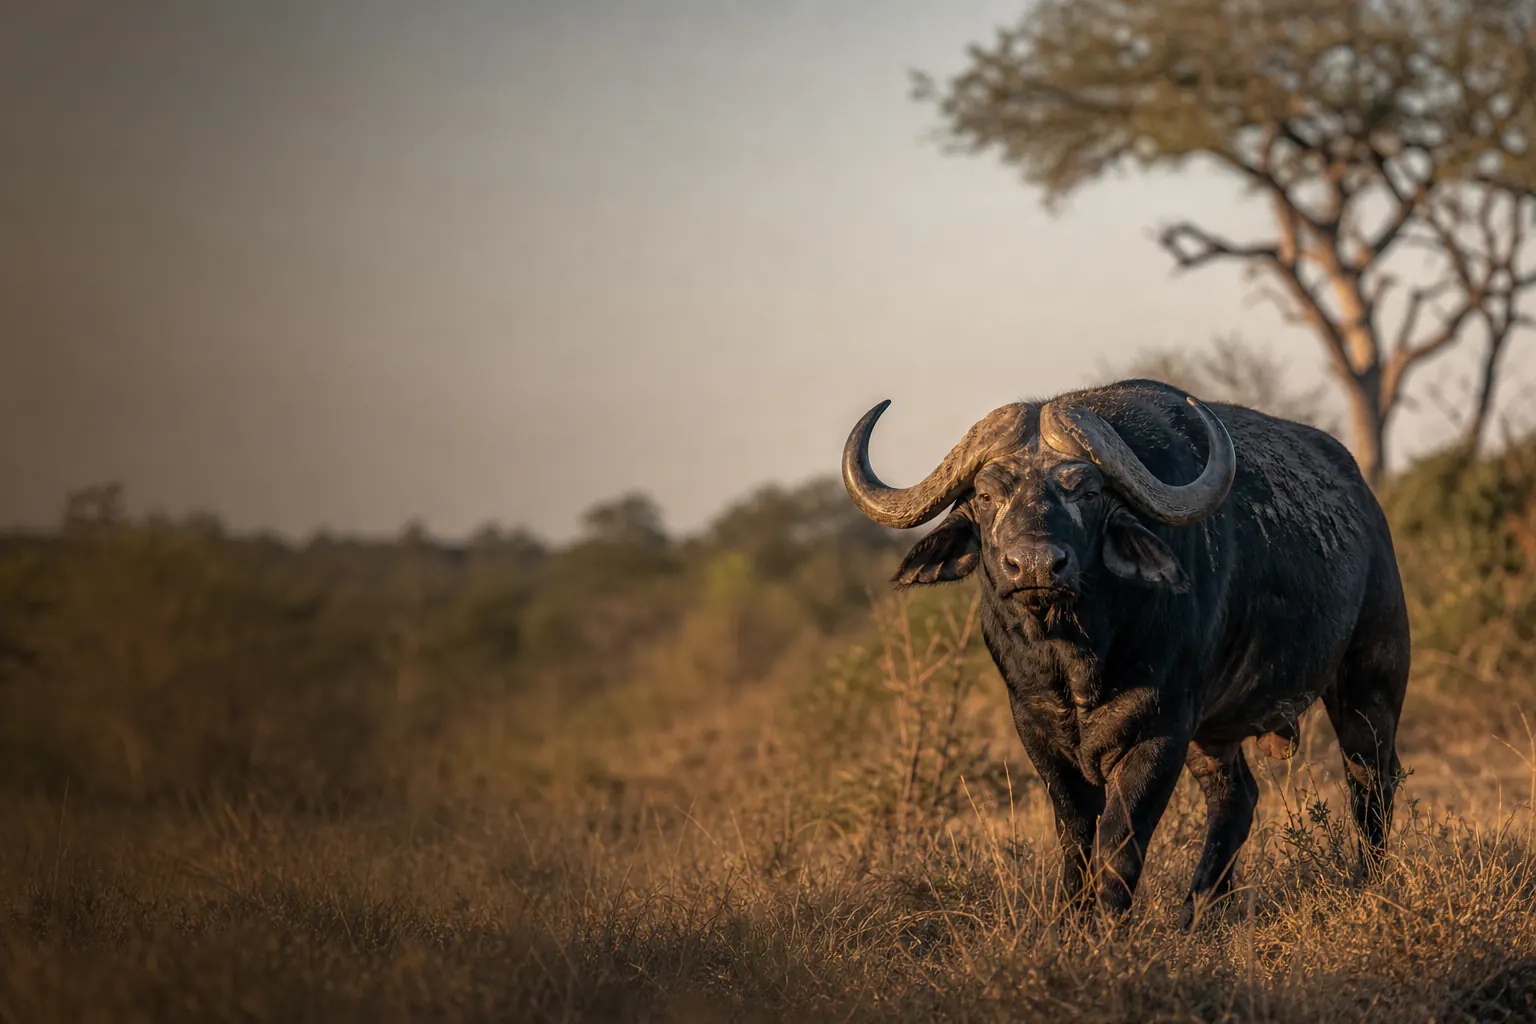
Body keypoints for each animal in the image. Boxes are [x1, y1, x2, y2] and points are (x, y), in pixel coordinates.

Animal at [841, 378, 1410, 926]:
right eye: (985, 494)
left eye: (1088, 492)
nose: (1035, 565)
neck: (1076, 661)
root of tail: (1368, 506)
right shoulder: (1035, 729)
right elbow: (1075, 835)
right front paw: (1070, 924)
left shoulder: (1162, 729)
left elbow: (1120, 838)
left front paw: (1108, 931)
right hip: (1214, 734)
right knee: (1237, 797)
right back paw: (1200, 910)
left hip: (1370, 682)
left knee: (1371, 782)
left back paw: (1367, 884)